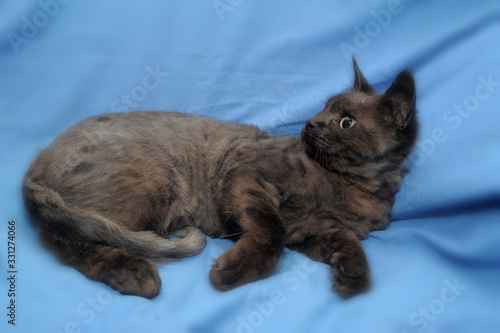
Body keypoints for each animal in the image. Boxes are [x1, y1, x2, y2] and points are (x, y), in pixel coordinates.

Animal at [22, 59, 418, 298]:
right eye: (324, 108)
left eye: (346, 121)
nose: (310, 123)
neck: (355, 187)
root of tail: (36, 162)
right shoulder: (246, 177)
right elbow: (270, 232)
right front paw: (235, 270)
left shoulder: (311, 234)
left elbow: (346, 240)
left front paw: (353, 275)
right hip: (153, 182)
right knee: (69, 241)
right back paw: (134, 274)